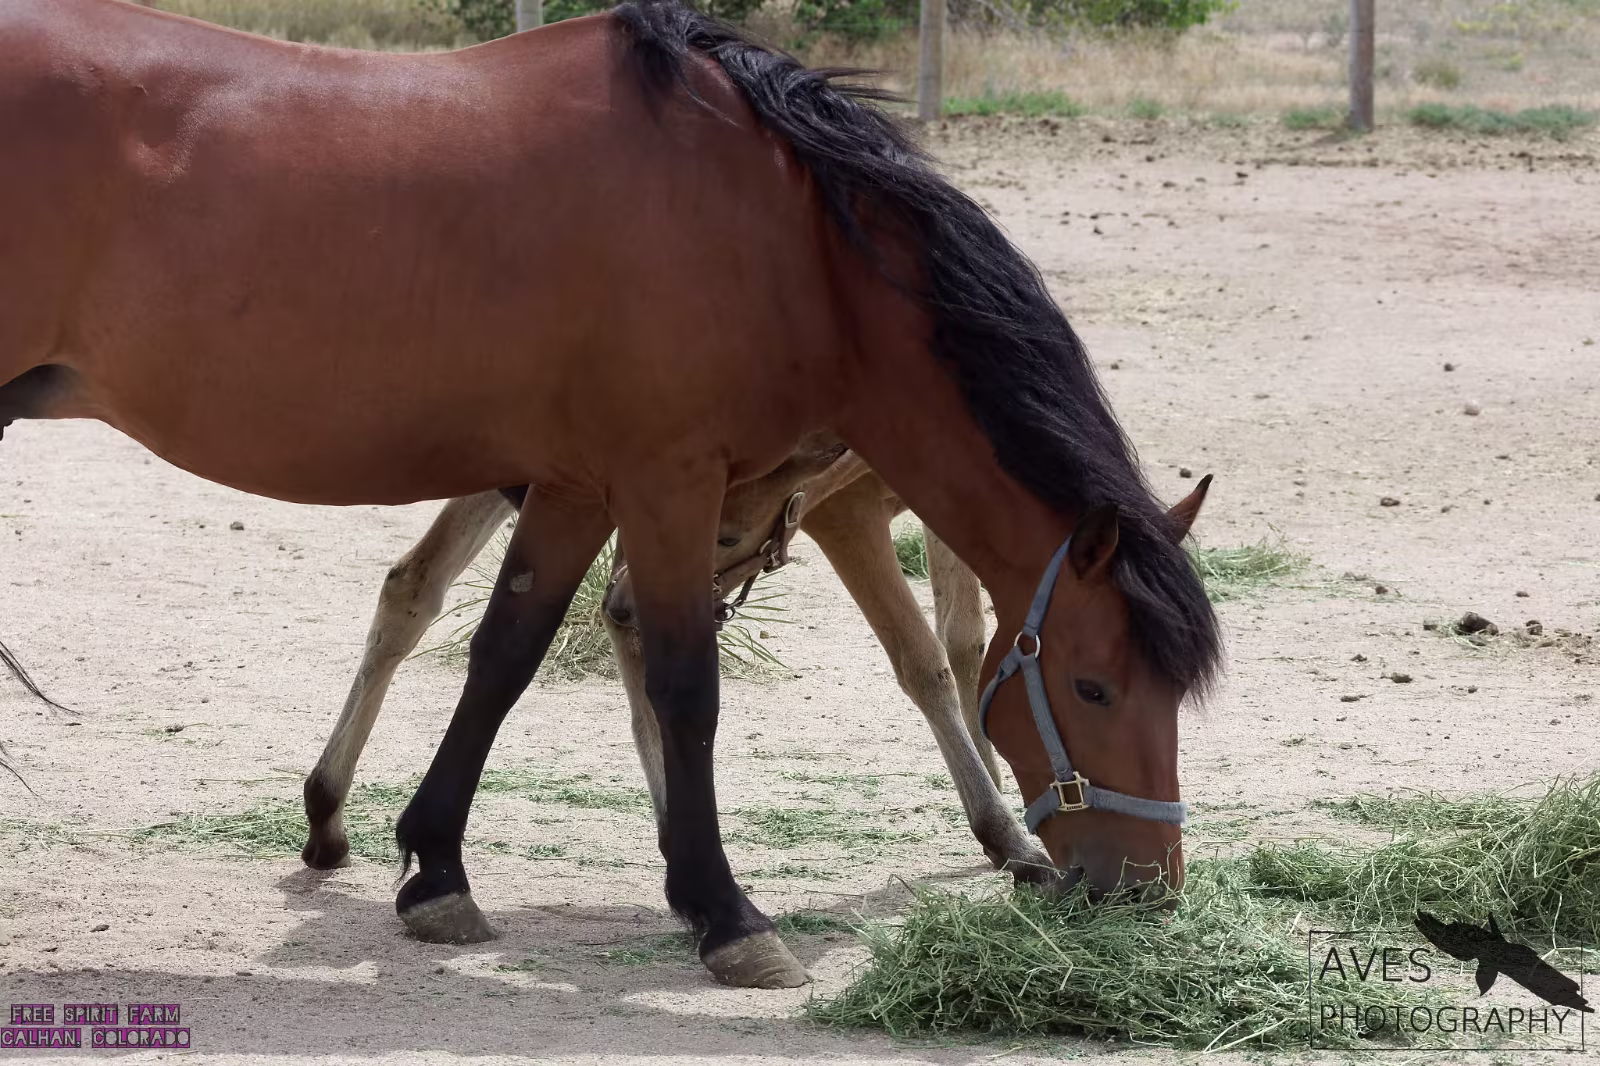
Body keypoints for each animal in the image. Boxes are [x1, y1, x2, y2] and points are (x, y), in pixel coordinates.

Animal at [0, 0, 1220, 989]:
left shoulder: (579, 486)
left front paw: (437, 873)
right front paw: (727, 914)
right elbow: (688, 687)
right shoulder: (669, 481)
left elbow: (503, 657)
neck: (781, 236)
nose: (1147, 887)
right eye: (1095, 686)